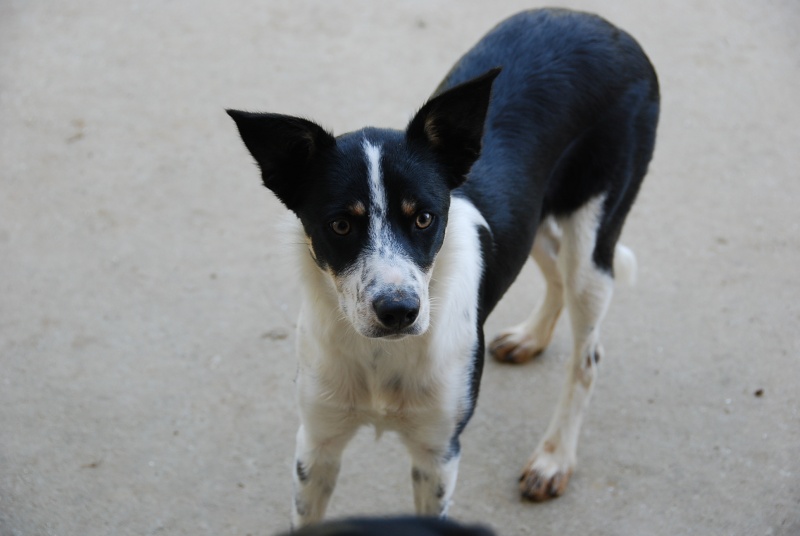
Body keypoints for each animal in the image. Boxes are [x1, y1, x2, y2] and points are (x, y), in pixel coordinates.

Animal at [228, 7, 660, 528]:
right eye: (340, 224)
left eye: (424, 217)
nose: (399, 311)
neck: (381, 356)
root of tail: (598, 22)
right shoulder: (316, 444)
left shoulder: (438, 453)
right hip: (534, 212)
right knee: (552, 266)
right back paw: (531, 337)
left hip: (592, 238)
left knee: (588, 355)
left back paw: (554, 457)